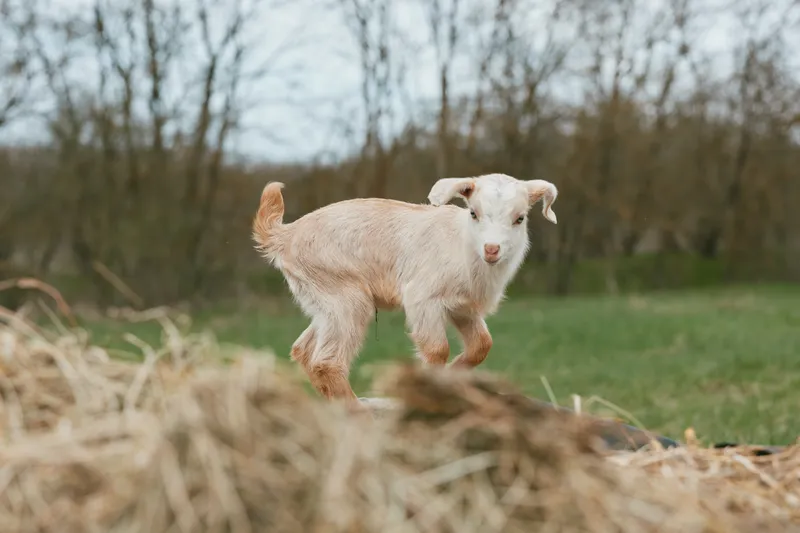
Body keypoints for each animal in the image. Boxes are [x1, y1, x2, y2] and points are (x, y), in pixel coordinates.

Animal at [252, 173, 558, 404]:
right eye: (473, 213)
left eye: (520, 218)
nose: (492, 249)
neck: (462, 245)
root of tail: (285, 235)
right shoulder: (422, 298)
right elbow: (437, 349)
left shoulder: (463, 308)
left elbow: (481, 345)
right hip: (345, 296)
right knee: (326, 361)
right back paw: (357, 412)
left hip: (324, 302)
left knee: (303, 350)